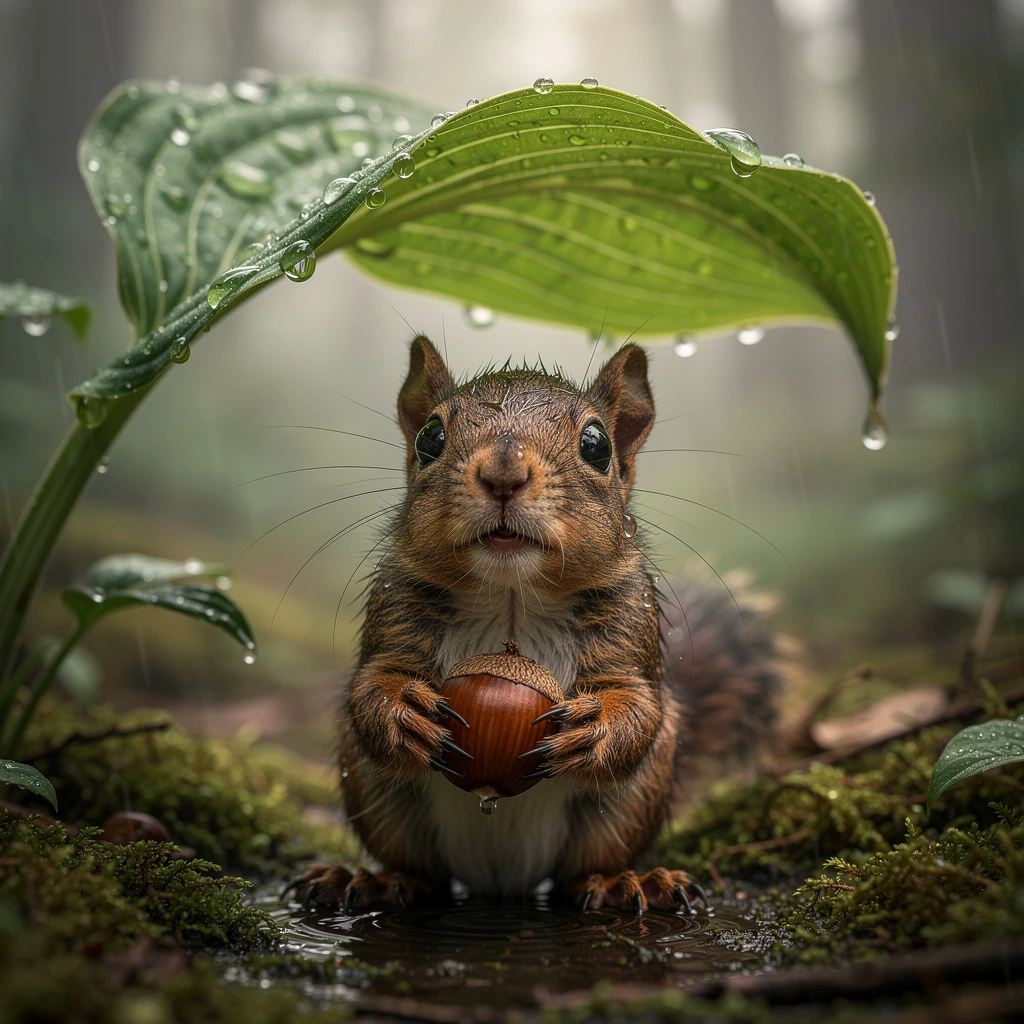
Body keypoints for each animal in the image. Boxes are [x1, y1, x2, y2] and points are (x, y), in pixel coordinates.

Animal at [290, 335, 789, 914]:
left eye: (596, 445)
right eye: (430, 437)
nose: (504, 475)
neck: (511, 594)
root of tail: (500, 881)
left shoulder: (630, 621)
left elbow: (638, 701)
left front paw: (594, 729)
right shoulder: (394, 604)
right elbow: (374, 680)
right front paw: (403, 713)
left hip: (627, 806)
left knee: (578, 873)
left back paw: (624, 885)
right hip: (381, 797)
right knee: (424, 874)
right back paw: (374, 880)